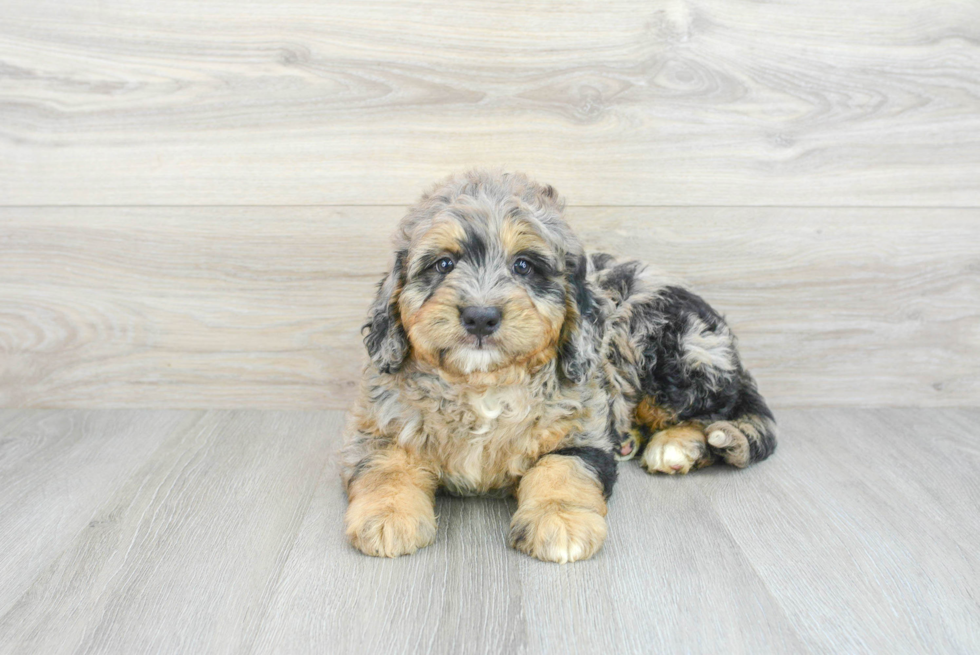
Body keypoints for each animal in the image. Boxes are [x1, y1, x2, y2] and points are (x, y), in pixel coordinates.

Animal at [340, 170, 776, 564]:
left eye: (523, 266)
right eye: (444, 264)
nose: (480, 317)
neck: (484, 384)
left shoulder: (582, 427)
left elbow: (561, 468)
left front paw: (561, 521)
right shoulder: (377, 425)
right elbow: (386, 466)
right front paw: (388, 515)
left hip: (669, 352)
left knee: (719, 410)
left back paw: (674, 446)